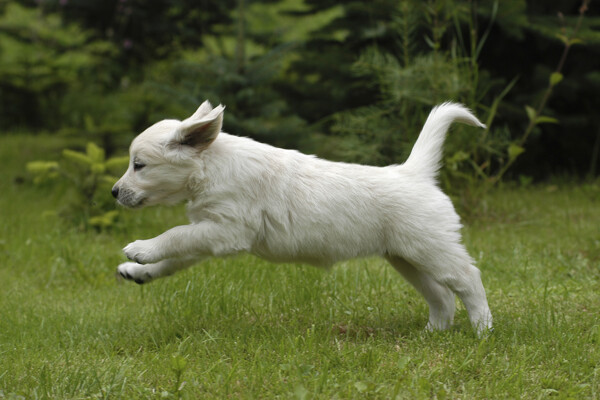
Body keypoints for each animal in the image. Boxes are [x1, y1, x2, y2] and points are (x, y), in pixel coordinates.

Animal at [111, 100, 492, 334]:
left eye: (139, 165)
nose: (114, 192)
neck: (212, 166)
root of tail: (414, 172)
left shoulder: (227, 231)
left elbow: (174, 234)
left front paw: (141, 248)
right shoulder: (209, 231)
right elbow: (176, 256)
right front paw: (139, 271)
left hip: (432, 248)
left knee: (468, 279)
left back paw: (483, 330)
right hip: (405, 257)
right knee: (441, 296)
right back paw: (432, 333)